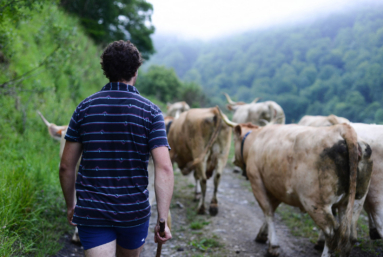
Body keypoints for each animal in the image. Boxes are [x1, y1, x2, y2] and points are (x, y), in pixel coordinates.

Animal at [220, 110, 374, 256]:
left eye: (235, 139)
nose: (234, 160)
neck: (256, 139)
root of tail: (342, 129)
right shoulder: (276, 186)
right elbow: (272, 209)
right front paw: (262, 235)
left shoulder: (257, 182)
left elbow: (268, 211)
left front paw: (273, 246)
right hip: (355, 202)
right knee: (350, 236)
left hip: (315, 202)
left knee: (331, 233)